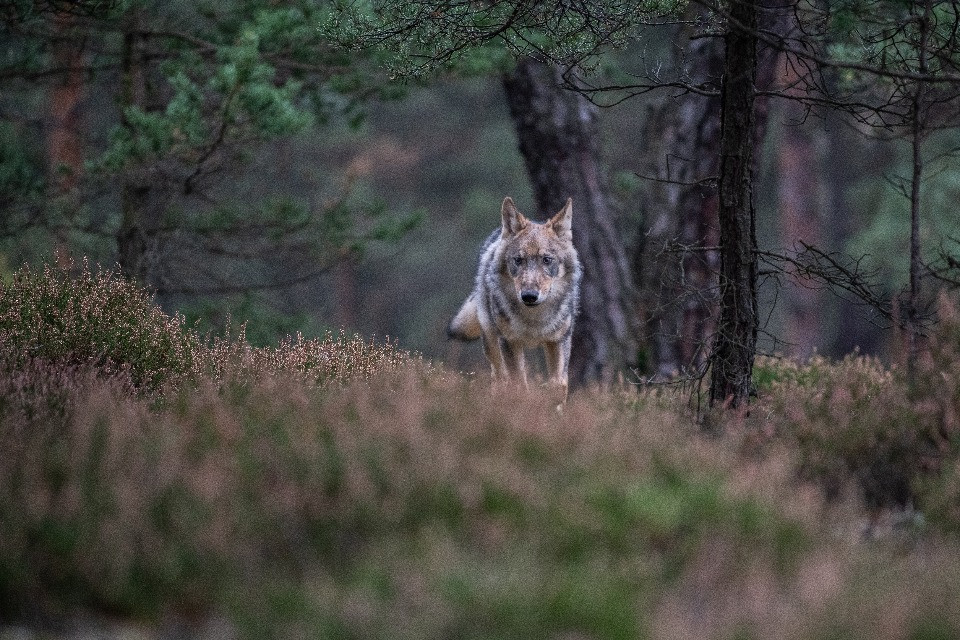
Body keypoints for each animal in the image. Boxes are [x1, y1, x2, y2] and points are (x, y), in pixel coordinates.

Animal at [448, 196, 582, 399]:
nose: (529, 296)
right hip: (492, 342)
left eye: (546, 260)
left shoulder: (559, 341)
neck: (534, 321)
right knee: (499, 378)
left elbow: (558, 385)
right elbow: (520, 385)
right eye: (518, 260)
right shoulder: (510, 342)